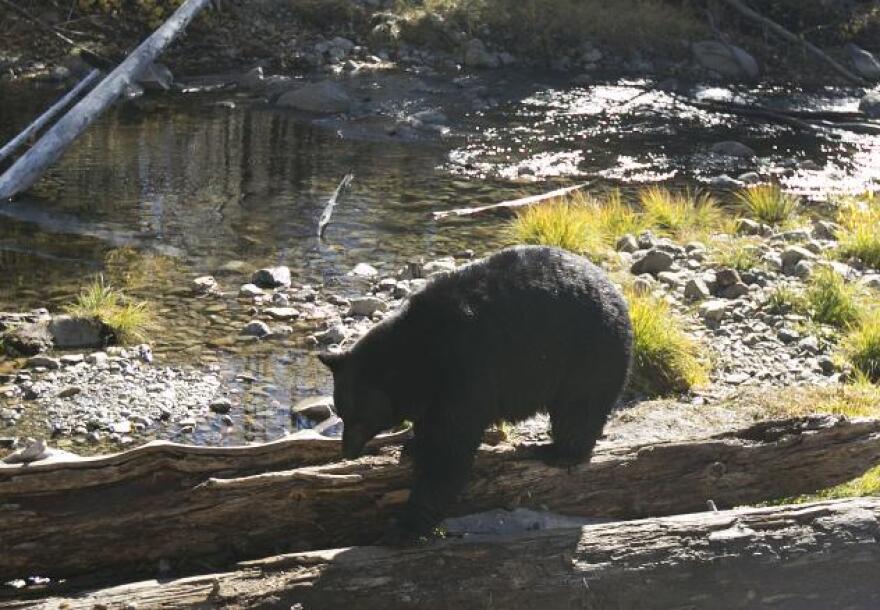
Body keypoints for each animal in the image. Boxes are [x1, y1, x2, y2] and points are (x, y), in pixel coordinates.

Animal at [322, 243, 632, 536]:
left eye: (359, 418)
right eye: (342, 414)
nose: (347, 451)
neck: (420, 355)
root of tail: (617, 295)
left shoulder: (466, 369)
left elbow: (449, 449)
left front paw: (406, 524)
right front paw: (412, 445)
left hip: (587, 353)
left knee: (578, 409)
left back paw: (554, 451)